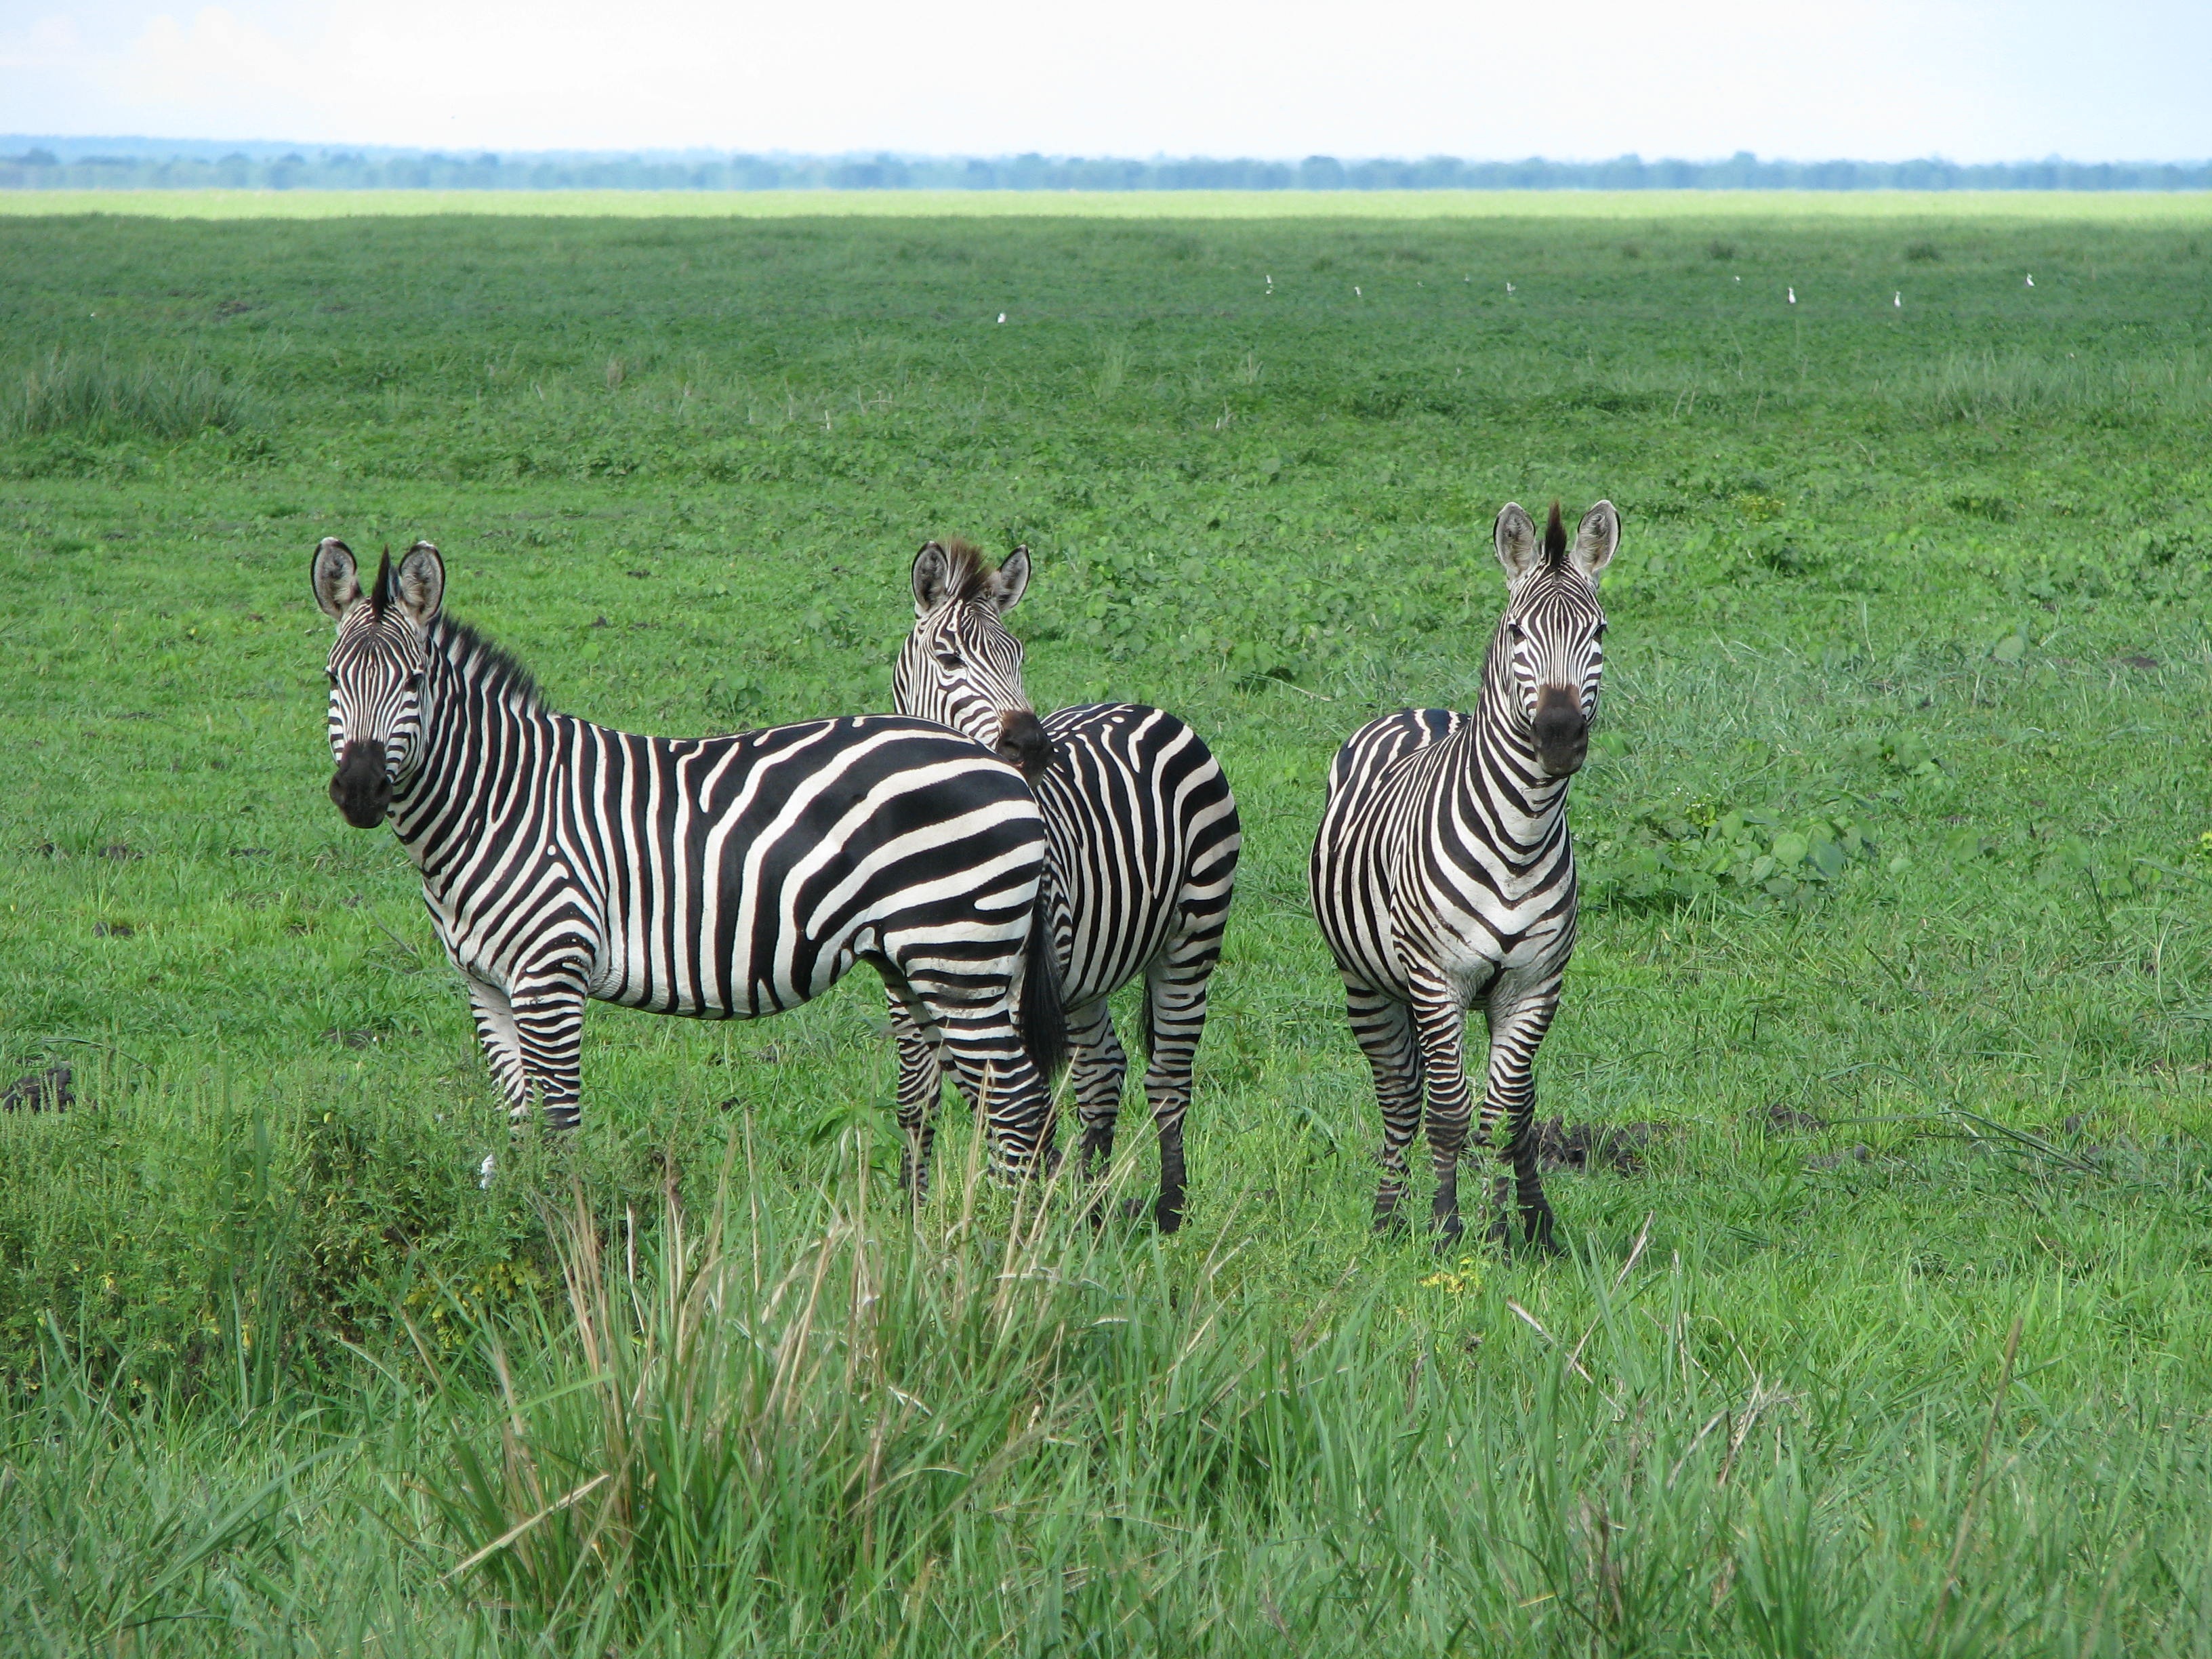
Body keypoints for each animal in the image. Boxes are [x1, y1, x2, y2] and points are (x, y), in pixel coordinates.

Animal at [316, 541, 1066, 1168]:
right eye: (330, 680)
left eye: (414, 681)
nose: (359, 789)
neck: (498, 800)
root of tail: (1003, 771)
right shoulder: (486, 986)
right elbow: (522, 1128)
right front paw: (517, 1223)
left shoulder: (550, 975)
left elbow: (560, 1132)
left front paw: (563, 1235)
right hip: (922, 966)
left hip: (960, 959)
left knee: (1020, 1106)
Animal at [880, 539, 1238, 1229]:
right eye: (949, 658)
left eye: (1018, 656)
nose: (1031, 743)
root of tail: (1143, 707)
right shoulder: (907, 987)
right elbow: (920, 1099)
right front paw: (912, 1215)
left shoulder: (1014, 988)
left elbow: (1015, 1103)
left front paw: (1009, 1217)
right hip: (1083, 977)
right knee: (1102, 1072)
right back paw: (1091, 1202)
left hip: (1191, 937)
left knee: (1167, 1078)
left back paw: (1169, 1209)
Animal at [1300, 499, 1619, 1256]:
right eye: (1517, 632)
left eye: (1597, 632)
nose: (1558, 736)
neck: (1521, 836)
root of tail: (1419, 710)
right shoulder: (1438, 979)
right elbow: (1448, 1111)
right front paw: (1446, 1229)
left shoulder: (1534, 987)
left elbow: (1504, 1115)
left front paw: (1504, 1232)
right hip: (1369, 983)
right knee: (1401, 1097)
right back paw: (1389, 1218)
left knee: (1517, 1102)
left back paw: (1534, 1219)